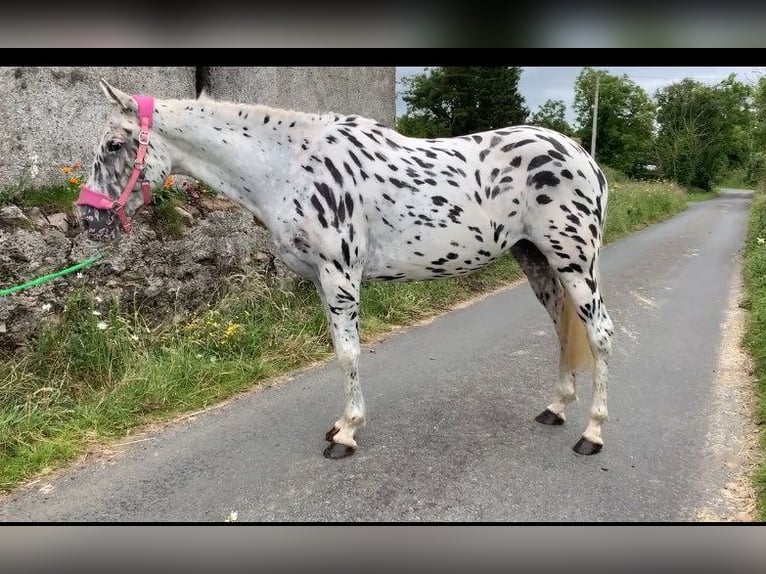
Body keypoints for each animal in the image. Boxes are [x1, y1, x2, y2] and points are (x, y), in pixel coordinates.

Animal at [78, 80, 616, 460]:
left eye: (113, 145)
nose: (87, 218)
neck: (289, 166)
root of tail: (585, 156)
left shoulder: (340, 275)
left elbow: (348, 354)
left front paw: (347, 434)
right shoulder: (322, 279)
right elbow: (340, 352)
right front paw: (342, 425)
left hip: (575, 261)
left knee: (599, 334)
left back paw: (591, 434)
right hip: (536, 259)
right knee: (562, 328)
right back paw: (555, 409)